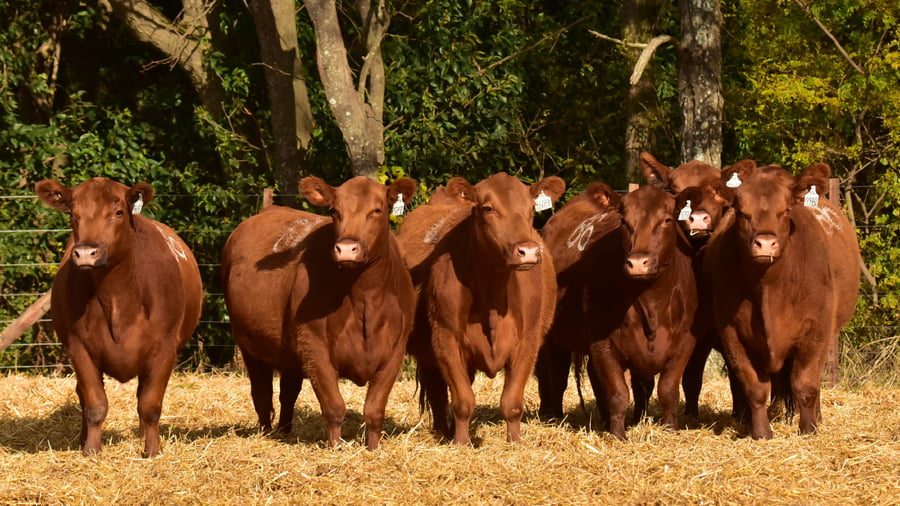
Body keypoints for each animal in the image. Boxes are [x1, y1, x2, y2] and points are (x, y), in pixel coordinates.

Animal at [35, 177, 202, 458]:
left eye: (118, 212)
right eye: (73, 214)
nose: (85, 253)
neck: (116, 299)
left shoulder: (165, 349)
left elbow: (150, 404)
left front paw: (152, 450)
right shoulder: (79, 348)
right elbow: (94, 404)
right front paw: (91, 450)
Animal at [221, 176, 417, 450]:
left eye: (377, 210)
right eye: (334, 211)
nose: (347, 248)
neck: (364, 299)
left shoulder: (394, 352)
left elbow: (374, 410)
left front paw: (372, 448)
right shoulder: (314, 347)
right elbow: (334, 406)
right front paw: (336, 448)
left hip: (288, 353)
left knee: (287, 393)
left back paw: (284, 431)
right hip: (249, 345)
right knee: (262, 392)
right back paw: (267, 432)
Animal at [397, 173, 565, 446]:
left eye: (531, 209)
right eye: (488, 208)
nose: (528, 251)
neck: (494, 299)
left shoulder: (529, 341)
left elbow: (512, 402)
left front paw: (514, 442)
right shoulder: (445, 338)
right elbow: (463, 400)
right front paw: (461, 443)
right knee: (436, 393)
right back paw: (444, 432)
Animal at [538, 183, 698, 439]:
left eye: (667, 219)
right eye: (624, 221)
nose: (638, 262)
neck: (650, 304)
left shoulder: (685, 342)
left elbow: (668, 390)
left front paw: (670, 430)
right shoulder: (603, 343)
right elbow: (618, 393)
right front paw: (618, 436)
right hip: (554, 337)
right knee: (556, 377)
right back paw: (556, 417)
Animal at [704, 163, 860, 439]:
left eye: (785, 210)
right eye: (741, 212)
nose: (765, 243)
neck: (770, 290)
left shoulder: (816, 332)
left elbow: (806, 385)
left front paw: (809, 429)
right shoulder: (732, 333)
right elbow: (754, 387)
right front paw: (761, 433)